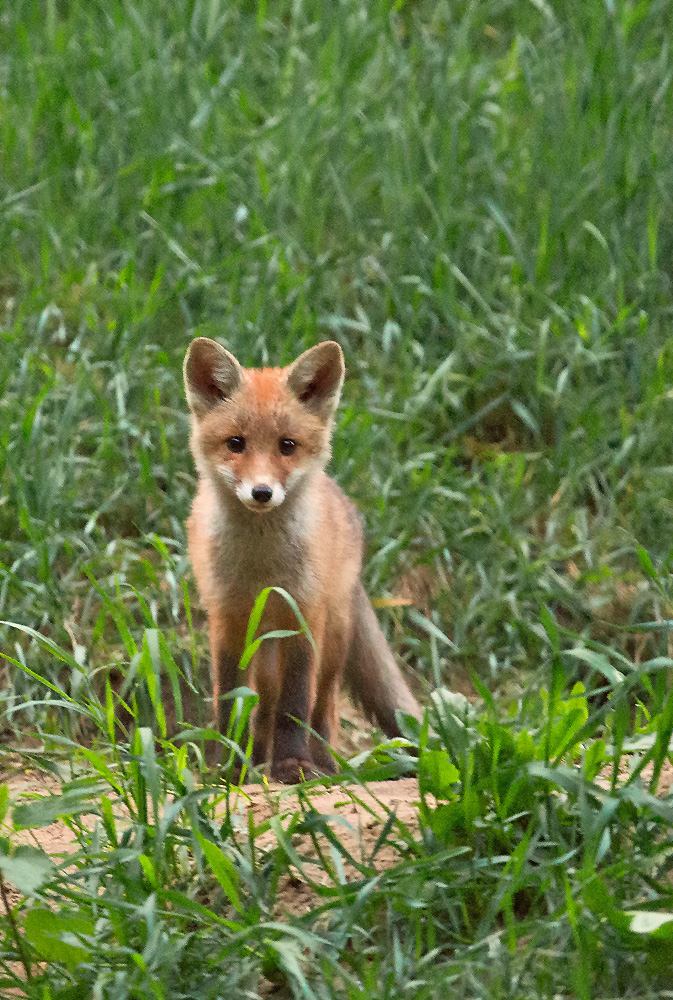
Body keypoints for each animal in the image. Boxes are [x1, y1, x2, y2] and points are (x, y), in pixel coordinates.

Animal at [183, 337, 422, 784]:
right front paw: (230, 767)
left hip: (333, 636)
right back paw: (259, 759)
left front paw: (293, 765)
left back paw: (323, 763)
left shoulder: (303, 616)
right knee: (264, 706)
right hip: (265, 653)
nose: (261, 492)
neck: (262, 568)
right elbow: (230, 701)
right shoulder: (227, 619)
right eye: (236, 443)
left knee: (323, 706)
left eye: (287, 446)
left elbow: (295, 705)